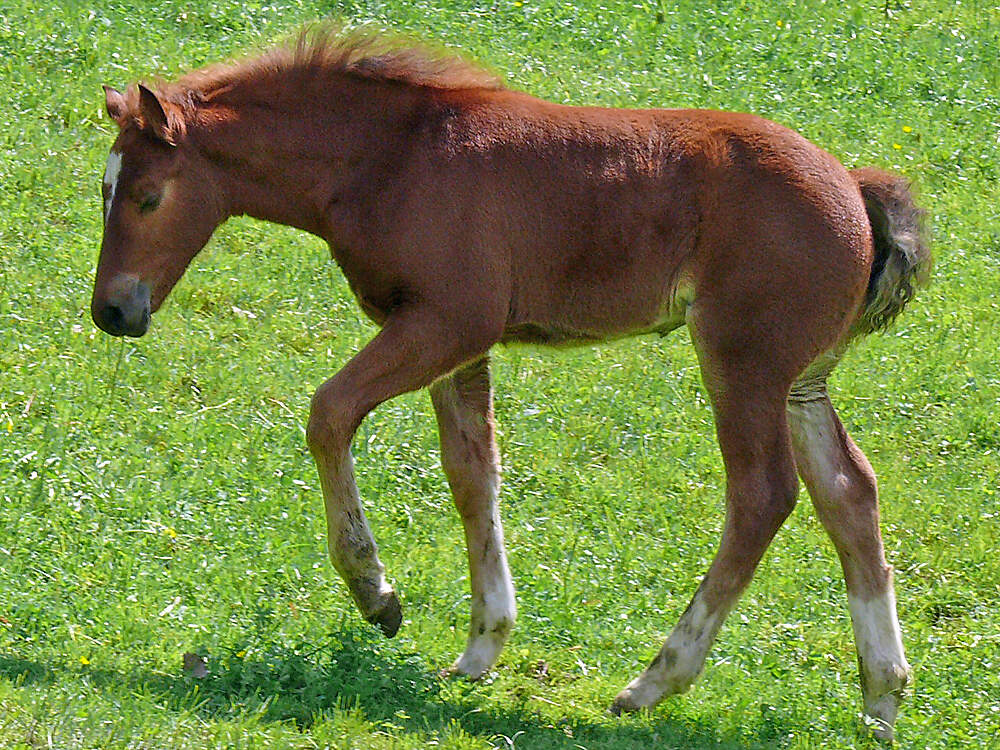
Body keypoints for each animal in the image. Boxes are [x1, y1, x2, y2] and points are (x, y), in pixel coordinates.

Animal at [94, 27, 928, 740]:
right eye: (105, 191)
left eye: (148, 196)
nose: (113, 310)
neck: (391, 157)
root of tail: (858, 192)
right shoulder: (458, 346)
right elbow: (472, 475)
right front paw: (480, 646)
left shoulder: (448, 321)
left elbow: (329, 413)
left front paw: (376, 592)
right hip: (800, 381)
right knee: (850, 493)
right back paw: (881, 699)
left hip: (743, 360)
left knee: (762, 497)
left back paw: (655, 681)